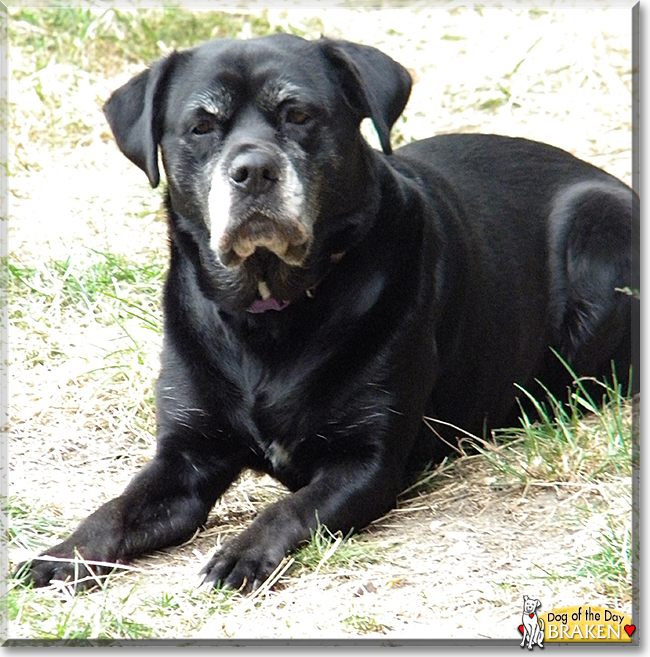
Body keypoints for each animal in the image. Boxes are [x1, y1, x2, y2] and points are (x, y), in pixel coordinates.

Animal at [16, 33, 636, 592]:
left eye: (298, 114)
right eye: (202, 126)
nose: (253, 170)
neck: (267, 312)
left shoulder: (365, 463)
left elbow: (288, 508)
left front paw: (241, 553)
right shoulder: (187, 455)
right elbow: (117, 506)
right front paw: (64, 553)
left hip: (597, 237)